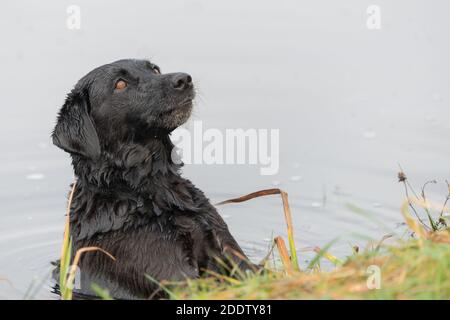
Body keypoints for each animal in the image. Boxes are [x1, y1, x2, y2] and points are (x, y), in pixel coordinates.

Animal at [52, 58, 251, 298]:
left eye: (155, 69)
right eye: (120, 84)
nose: (183, 79)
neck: (154, 189)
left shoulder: (225, 244)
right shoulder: (173, 275)